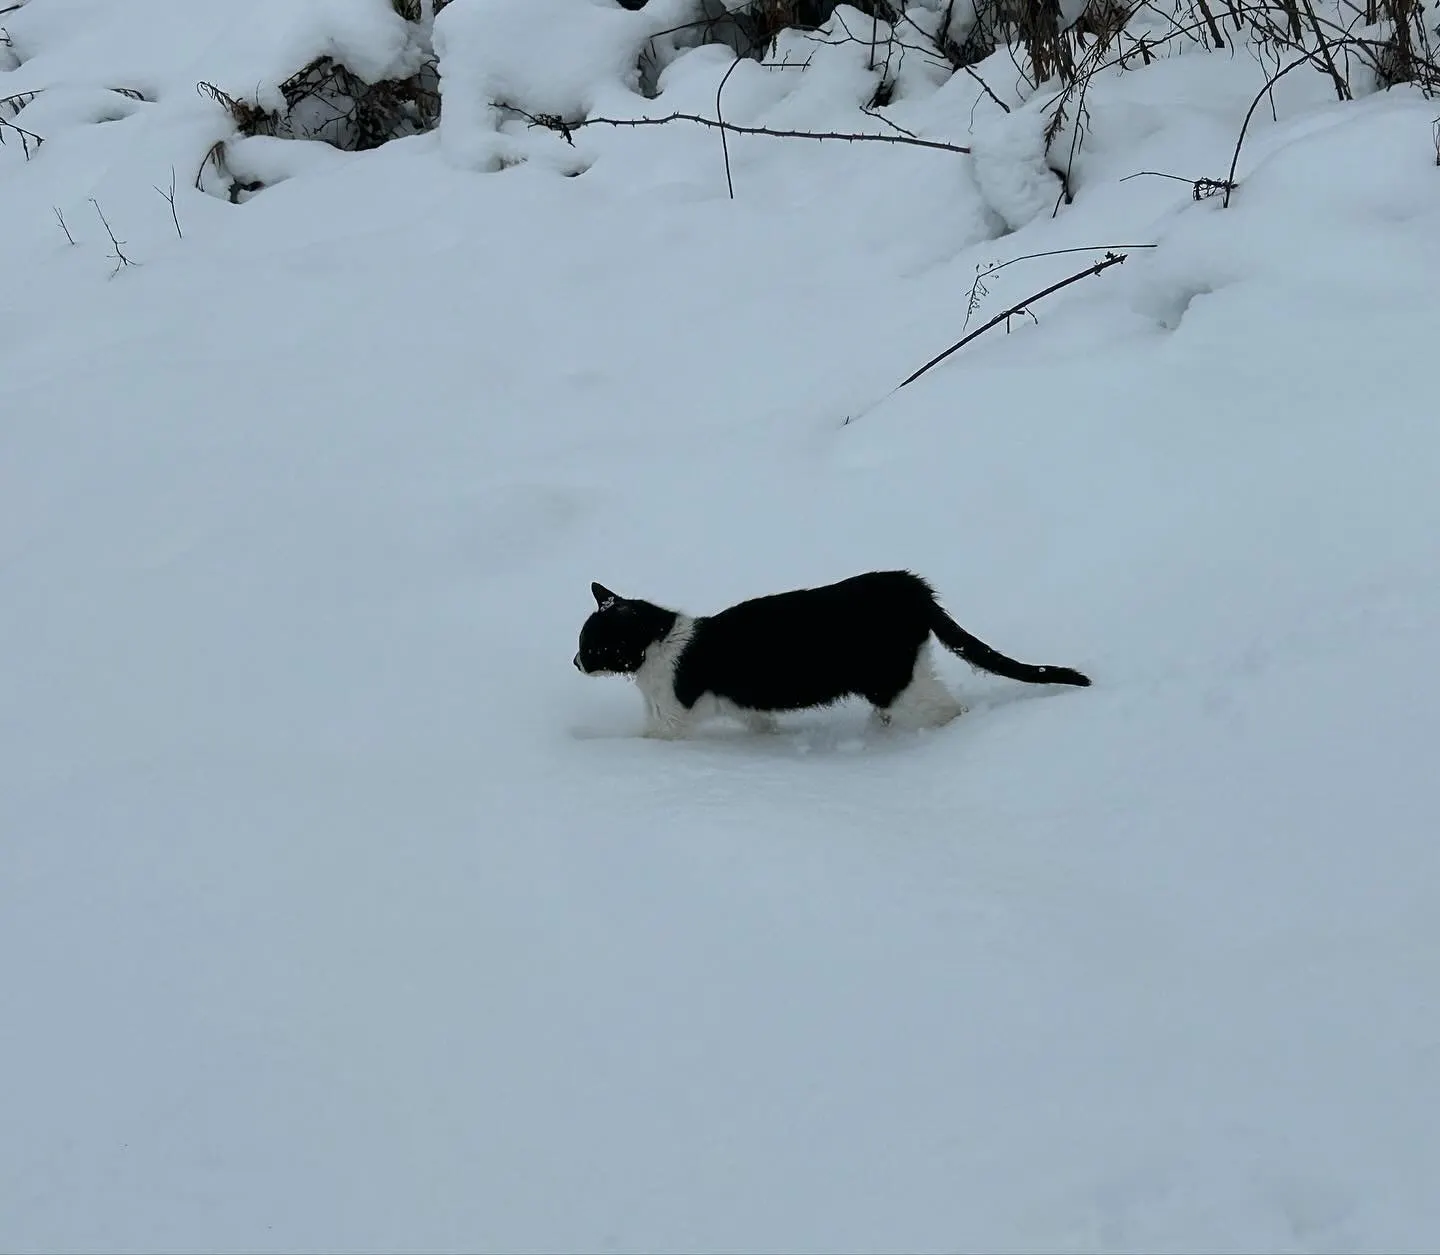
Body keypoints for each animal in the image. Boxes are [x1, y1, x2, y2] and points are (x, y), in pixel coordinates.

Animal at [574, 570, 1090, 738]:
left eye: (590, 645)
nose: (575, 662)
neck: (656, 644)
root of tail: (910, 586)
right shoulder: (746, 708)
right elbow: (761, 724)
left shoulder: (670, 718)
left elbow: (648, 738)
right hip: (900, 677)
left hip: (891, 681)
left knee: (946, 709)